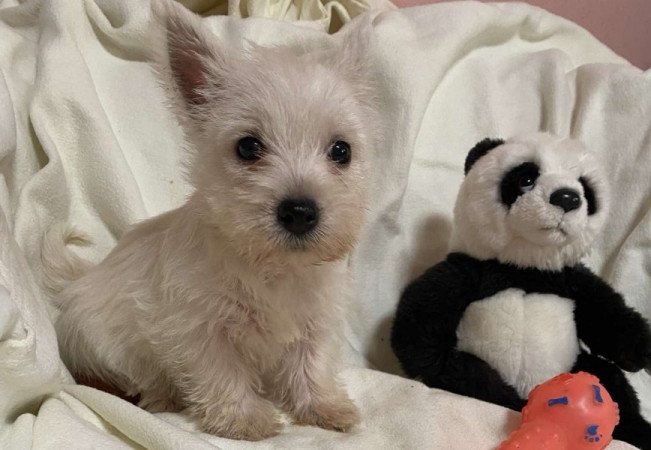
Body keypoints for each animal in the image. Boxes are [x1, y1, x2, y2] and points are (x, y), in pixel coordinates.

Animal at [42, 2, 376, 440]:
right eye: (248, 147)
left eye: (341, 151)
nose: (300, 212)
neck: (272, 268)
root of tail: (79, 280)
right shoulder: (200, 328)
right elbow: (222, 373)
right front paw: (245, 419)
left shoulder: (316, 320)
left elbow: (312, 364)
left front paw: (323, 407)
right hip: (104, 343)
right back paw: (161, 396)